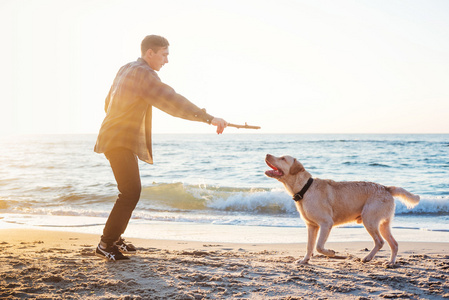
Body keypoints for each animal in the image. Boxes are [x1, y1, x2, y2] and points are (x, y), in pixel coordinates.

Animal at [264, 155, 418, 264]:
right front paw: (304, 260)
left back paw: (368, 257)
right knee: (394, 244)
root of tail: (386, 188)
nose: (267, 154)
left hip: (369, 220)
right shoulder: (311, 226)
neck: (305, 188)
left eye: (283, 158)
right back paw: (390, 262)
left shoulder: (326, 223)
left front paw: (331, 253)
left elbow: (319, 246)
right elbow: (309, 246)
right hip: (383, 224)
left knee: (380, 242)